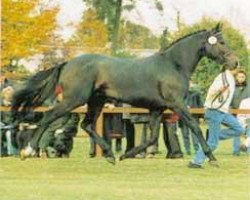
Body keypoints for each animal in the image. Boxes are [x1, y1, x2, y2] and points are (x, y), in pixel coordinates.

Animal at [11, 23, 238, 164]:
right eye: (221, 42)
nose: (235, 62)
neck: (174, 65)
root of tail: (67, 63)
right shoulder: (176, 104)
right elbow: (195, 127)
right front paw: (212, 158)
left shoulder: (157, 109)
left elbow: (151, 138)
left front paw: (127, 155)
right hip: (74, 99)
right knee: (49, 116)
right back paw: (27, 151)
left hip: (96, 101)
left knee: (87, 125)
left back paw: (110, 155)